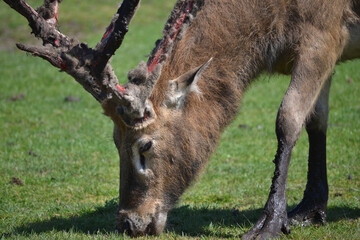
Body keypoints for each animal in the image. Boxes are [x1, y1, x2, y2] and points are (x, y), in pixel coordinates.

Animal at [3, 0, 360, 238]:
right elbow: (316, 121)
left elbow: (288, 119)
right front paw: (309, 210)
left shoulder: (322, 33)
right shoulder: (330, 45)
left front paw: (270, 223)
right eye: (115, 141)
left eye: (145, 145)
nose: (129, 222)